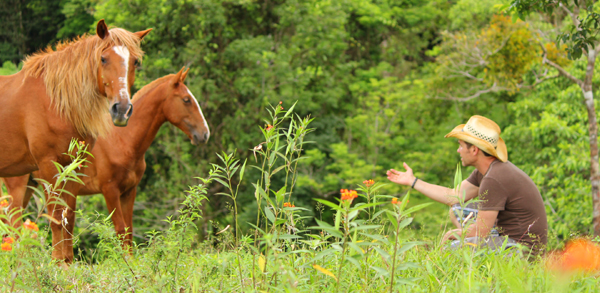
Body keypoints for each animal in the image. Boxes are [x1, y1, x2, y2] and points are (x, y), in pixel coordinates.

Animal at [0, 20, 151, 262]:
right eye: (103, 58)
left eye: (135, 62)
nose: (121, 109)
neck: (55, 102)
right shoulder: (47, 165)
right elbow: (55, 216)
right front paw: (56, 263)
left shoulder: (74, 166)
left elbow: (68, 217)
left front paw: (67, 262)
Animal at [2, 68, 211, 249]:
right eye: (186, 100)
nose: (204, 134)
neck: (122, 140)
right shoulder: (110, 190)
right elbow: (120, 230)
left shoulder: (129, 191)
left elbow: (128, 231)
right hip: (18, 186)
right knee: (14, 224)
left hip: (31, 186)